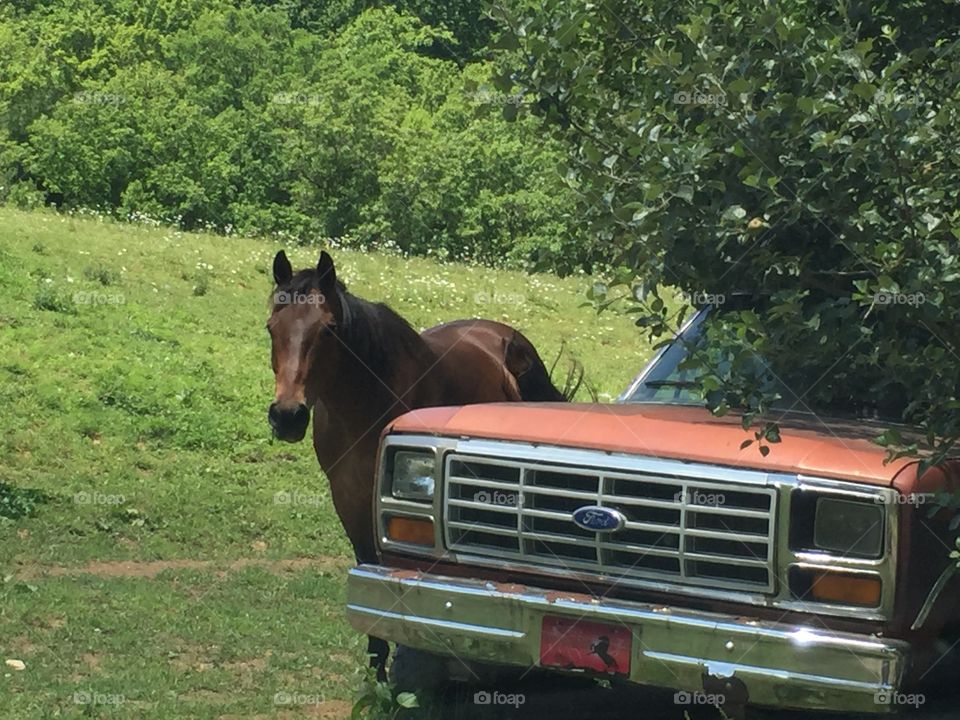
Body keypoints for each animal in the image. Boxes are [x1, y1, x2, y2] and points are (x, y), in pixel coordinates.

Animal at [266, 250, 572, 676]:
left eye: (329, 331)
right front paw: (376, 669)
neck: (367, 403)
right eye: (271, 328)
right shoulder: (348, 497)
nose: (287, 416)